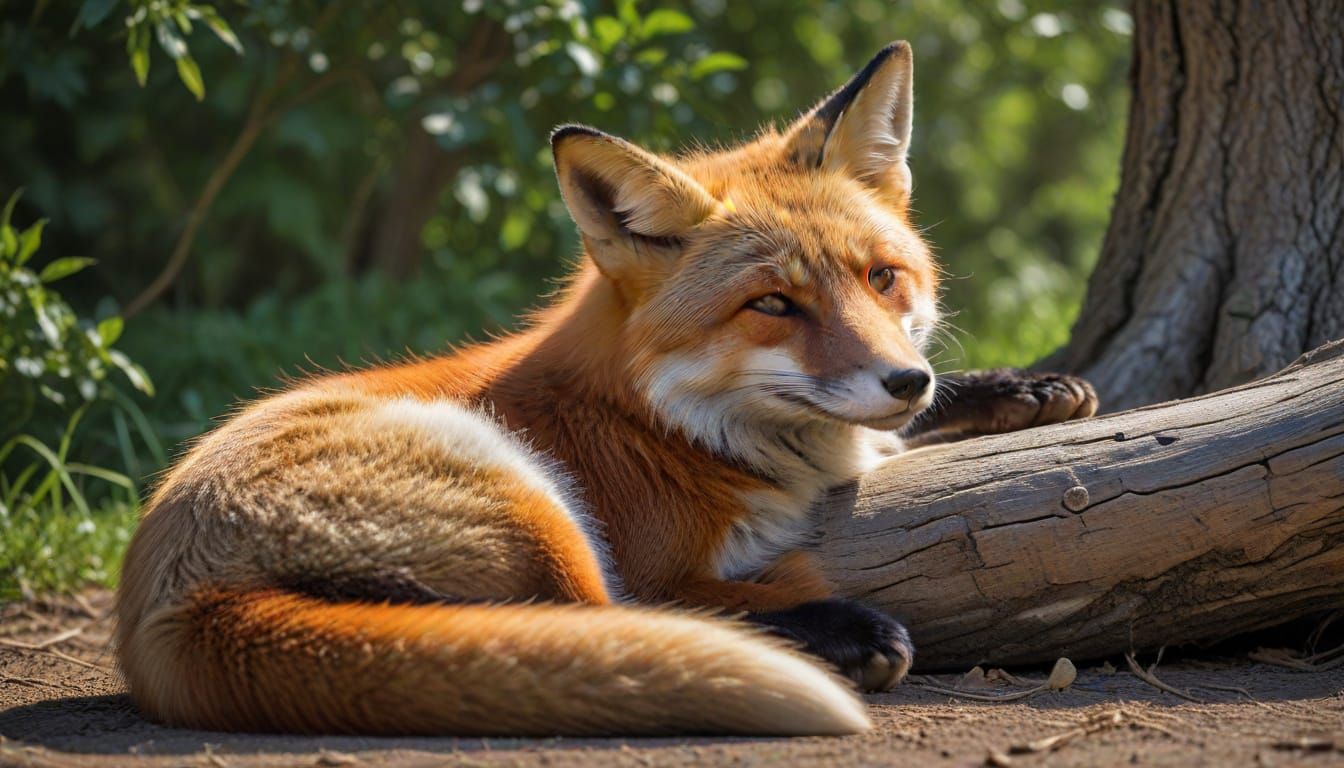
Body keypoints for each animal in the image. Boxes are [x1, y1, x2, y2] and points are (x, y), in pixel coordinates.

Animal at [115, 42, 1097, 737]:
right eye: (773, 304)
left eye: (883, 278)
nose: (905, 377)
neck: (673, 421)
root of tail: (166, 604)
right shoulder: (657, 549)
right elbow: (678, 594)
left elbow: (916, 423)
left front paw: (1025, 387)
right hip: (525, 494)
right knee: (608, 620)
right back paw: (840, 636)